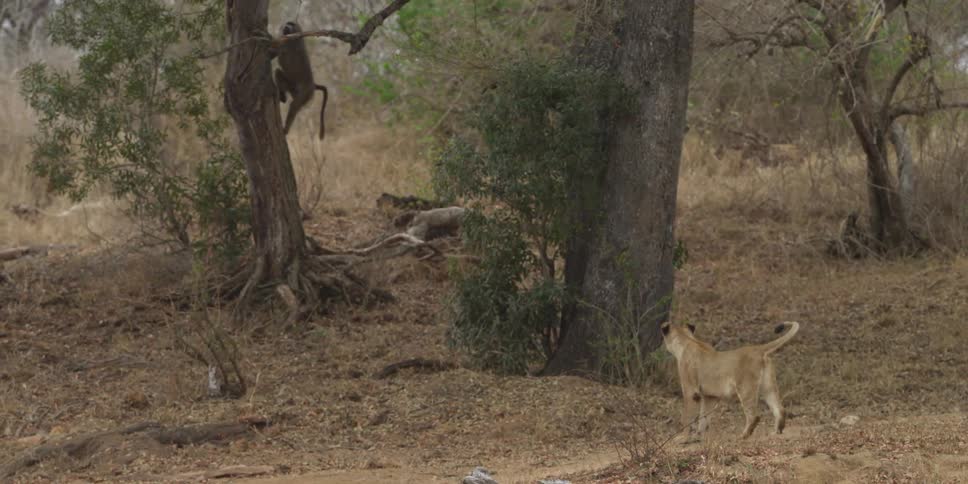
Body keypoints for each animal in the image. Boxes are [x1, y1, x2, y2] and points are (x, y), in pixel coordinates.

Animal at [660, 321, 800, 441]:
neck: (687, 340)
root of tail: (758, 349)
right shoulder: (710, 397)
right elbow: (704, 417)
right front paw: (697, 437)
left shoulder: (690, 391)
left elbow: (687, 417)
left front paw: (683, 438)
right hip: (768, 387)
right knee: (780, 409)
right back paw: (776, 432)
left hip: (745, 388)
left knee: (753, 415)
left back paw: (743, 435)